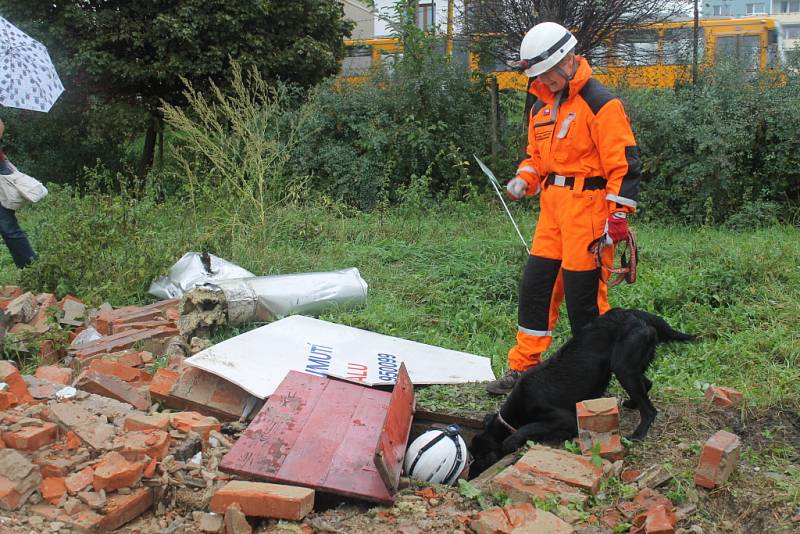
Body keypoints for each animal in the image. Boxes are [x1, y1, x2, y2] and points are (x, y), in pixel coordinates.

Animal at [468, 310, 692, 478]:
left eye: (480, 458)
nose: (469, 476)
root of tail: (636, 314)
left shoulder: (564, 418)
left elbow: (524, 430)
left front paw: (513, 441)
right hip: (627, 367)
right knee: (648, 383)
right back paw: (631, 403)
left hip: (623, 367)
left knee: (650, 410)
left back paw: (637, 434)